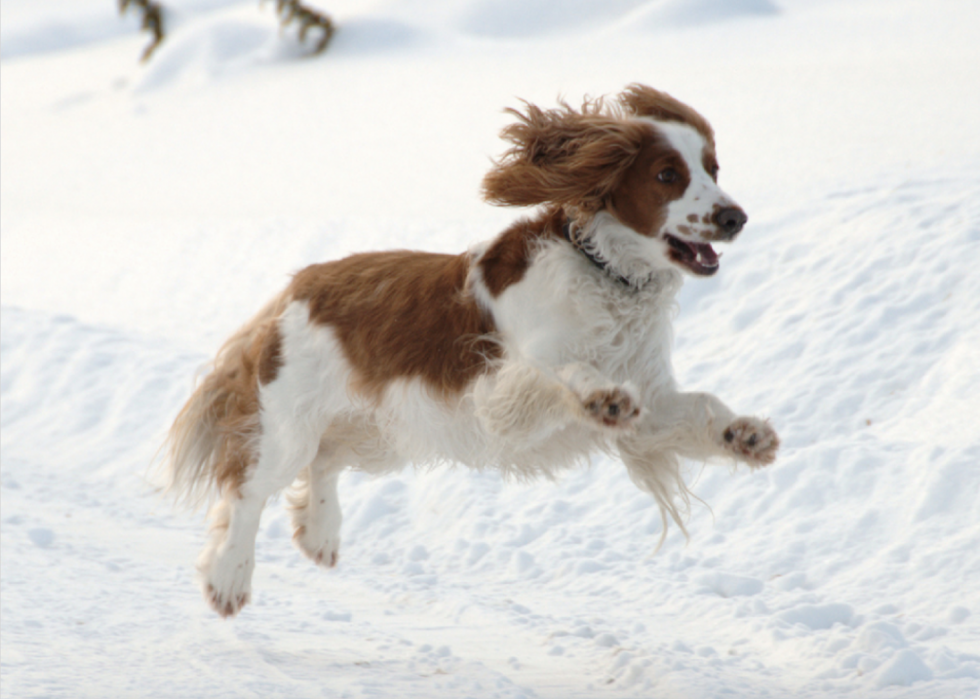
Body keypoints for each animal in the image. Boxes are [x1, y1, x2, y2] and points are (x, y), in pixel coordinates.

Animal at [167, 83, 780, 616]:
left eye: (713, 169)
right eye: (667, 175)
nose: (735, 217)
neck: (606, 273)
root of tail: (298, 285)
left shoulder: (651, 402)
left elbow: (701, 406)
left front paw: (745, 434)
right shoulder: (507, 388)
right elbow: (568, 371)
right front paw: (602, 396)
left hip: (383, 429)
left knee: (327, 460)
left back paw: (319, 532)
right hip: (291, 423)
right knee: (250, 490)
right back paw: (229, 578)